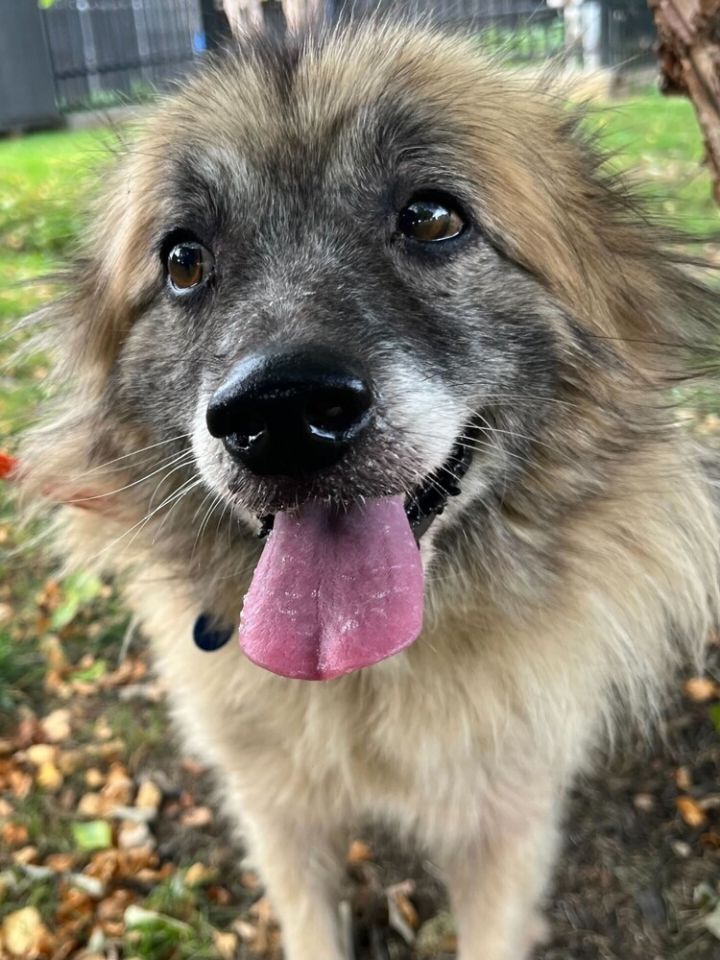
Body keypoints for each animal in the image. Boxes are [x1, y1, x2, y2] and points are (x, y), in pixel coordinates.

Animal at [21, 20, 720, 960]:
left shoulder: (504, 822)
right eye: (183, 261)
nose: (279, 413)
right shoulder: (277, 816)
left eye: (431, 217)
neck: (367, 674)